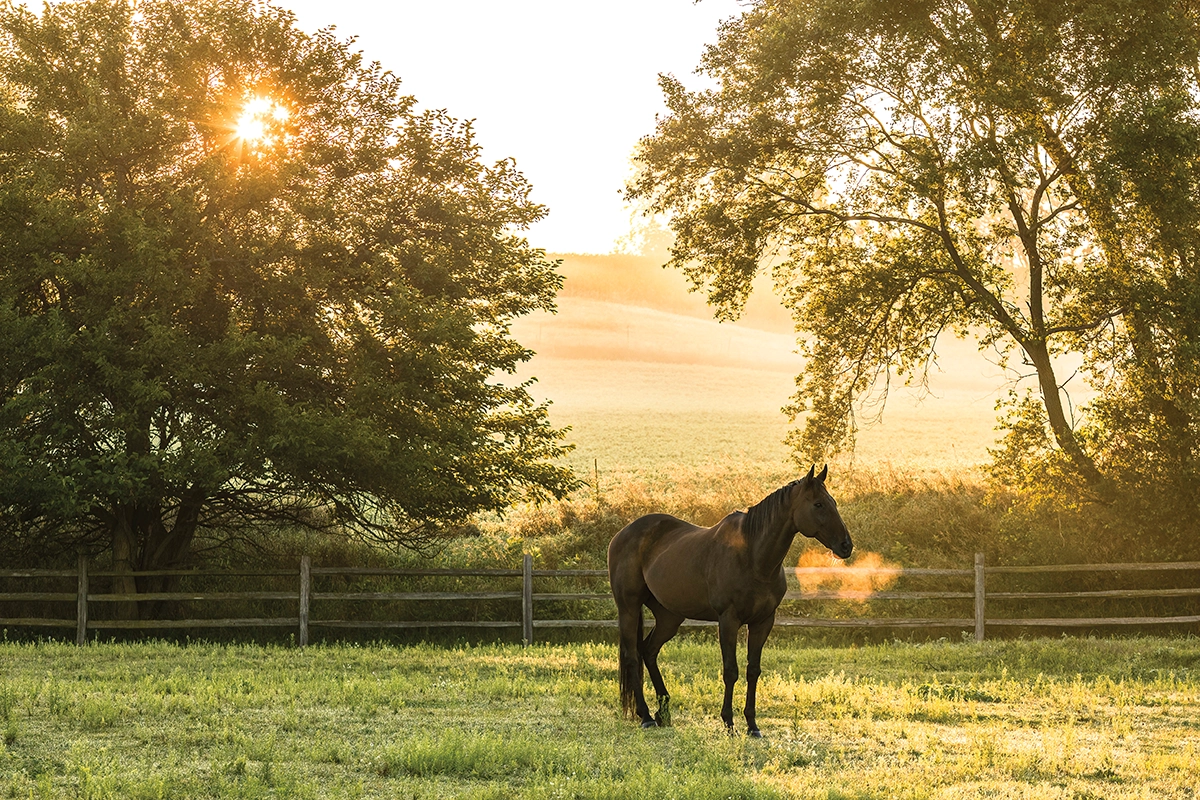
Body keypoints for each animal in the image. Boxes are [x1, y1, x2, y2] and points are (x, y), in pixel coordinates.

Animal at [607, 465, 852, 736]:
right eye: (818, 504)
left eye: (833, 502)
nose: (846, 545)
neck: (753, 557)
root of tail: (621, 535)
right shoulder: (728, 620)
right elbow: (730, 671)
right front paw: (728, 722)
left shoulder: (763, 622)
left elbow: (753, 670)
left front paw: (752, 725)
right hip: (629, 608)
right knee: (632, 656)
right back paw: (646, 715)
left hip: (669, 617)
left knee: (648, 651)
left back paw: (663, 711)